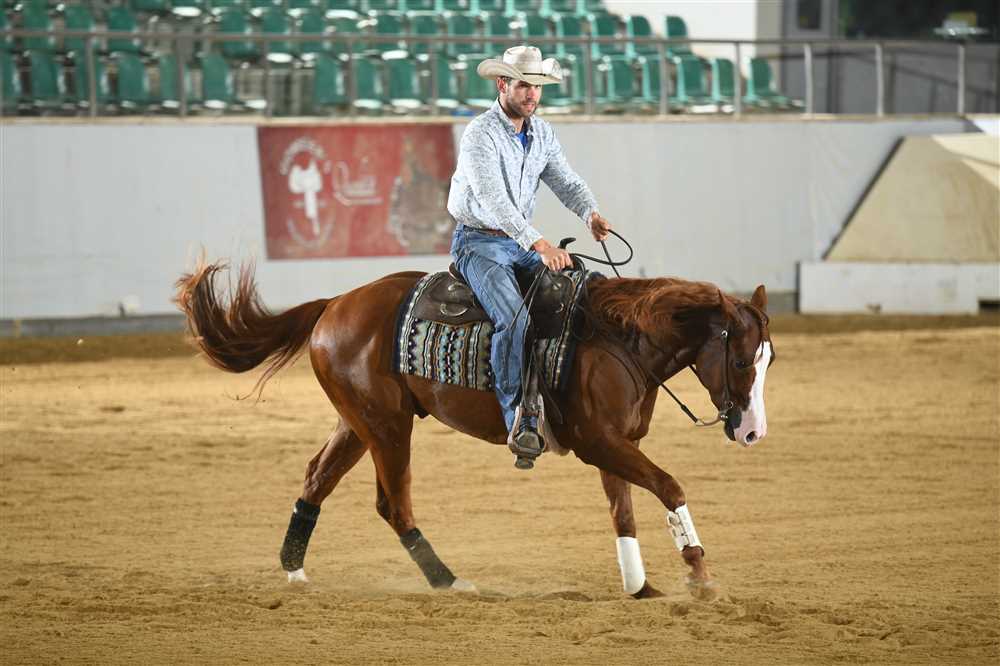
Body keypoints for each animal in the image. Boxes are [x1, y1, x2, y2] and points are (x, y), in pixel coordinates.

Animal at [174, 260, 774, 600]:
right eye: (741, 360)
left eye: (768, 359)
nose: (752, 434)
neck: (616, 337)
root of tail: (334, 304)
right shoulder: (599, 442)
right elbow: (669, 486)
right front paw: (699, 576)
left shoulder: (618, 444)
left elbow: (622, 512)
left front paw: (641, 587)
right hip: (387, 427)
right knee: (393, 505)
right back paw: (448, 581)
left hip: (357, 422)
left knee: (316, 477)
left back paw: (295, 571)